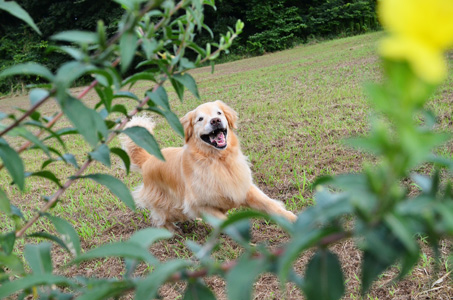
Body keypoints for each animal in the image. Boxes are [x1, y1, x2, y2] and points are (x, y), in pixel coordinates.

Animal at [121, 101, 296, 230]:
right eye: (200, 119)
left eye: (219, 113)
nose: (215, 121)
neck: (218, 160)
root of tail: (148, 159)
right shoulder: (201, 205)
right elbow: (227, 222)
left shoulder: (244, 188)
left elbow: (271, 205)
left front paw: (293, 219)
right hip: (164, 202)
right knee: (161, 218)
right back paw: (171, 232)